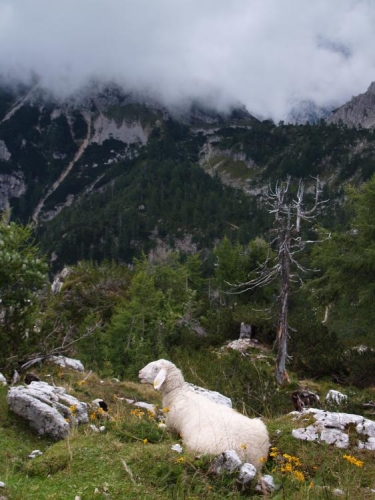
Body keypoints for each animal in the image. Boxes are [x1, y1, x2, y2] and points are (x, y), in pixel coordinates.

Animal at [139, 360, 270, 468]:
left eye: (155, 368)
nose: (139, 372)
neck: (177, 393)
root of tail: (253, 454)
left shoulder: (172, 425)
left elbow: (165, 428)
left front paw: (159, 425)